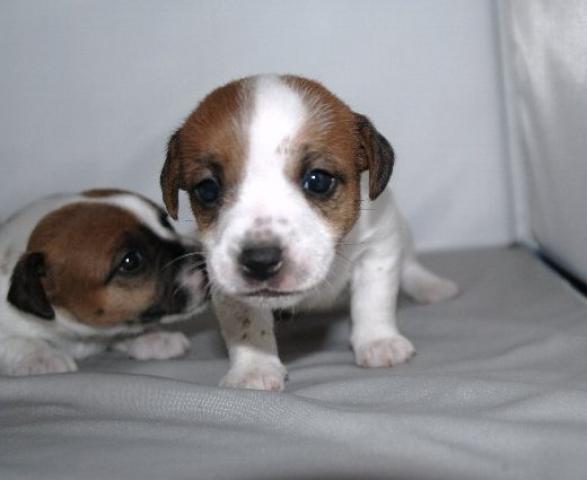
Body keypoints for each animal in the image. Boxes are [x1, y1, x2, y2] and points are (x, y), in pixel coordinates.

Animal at [0, 189, 207, 375]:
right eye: (131, 261)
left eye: (165, 223)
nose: (207, 259)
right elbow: (15, 341)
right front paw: (42, 356)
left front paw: (152, 336)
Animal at [160, 74, 459, 391]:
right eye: (207, 189)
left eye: (318, 181)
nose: (260, 260)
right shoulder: (223, 279)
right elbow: (246, 324)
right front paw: (254, 367)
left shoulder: (380, 245)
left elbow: (373, 299)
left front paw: (379, 341)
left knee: (410, 264)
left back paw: (431, 286)